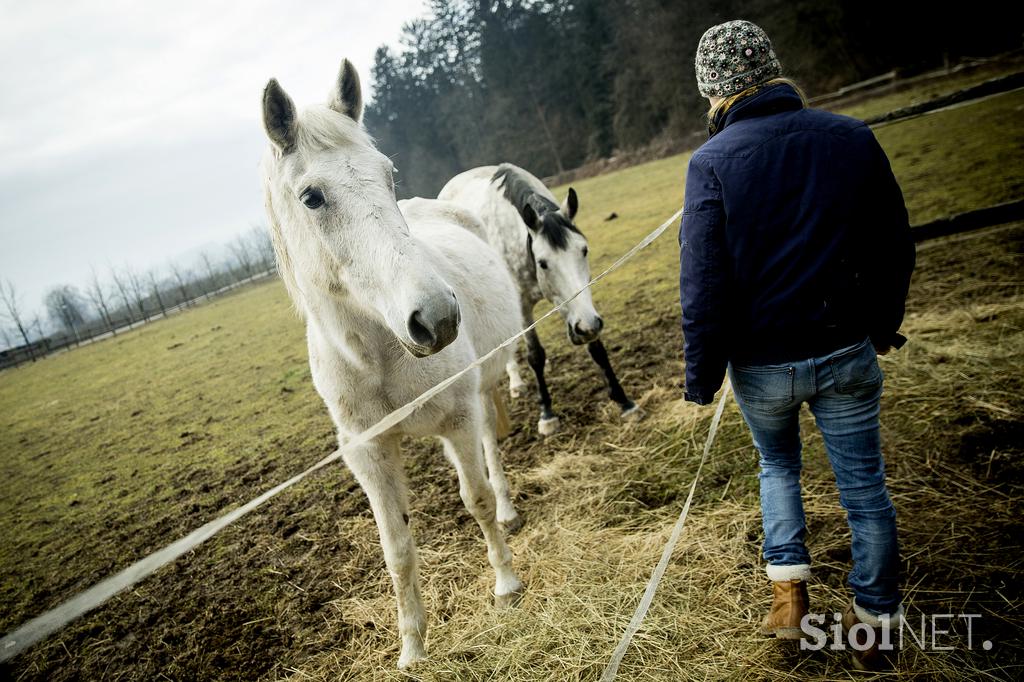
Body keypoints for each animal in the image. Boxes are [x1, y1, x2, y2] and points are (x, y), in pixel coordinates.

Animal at [260, 59, 524, 667]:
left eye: (388, 176)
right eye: (312, 197)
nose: (438, 318)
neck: (380, 356)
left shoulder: (457, 419)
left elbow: (474, 499)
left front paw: (506, 585)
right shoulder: (370, 454)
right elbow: (396, 547)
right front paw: (413, 648)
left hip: (479, 392)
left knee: (491, 452)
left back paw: (506, 510)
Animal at [440, 161, 638, 432]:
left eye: (584, 250)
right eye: (543, 263)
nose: (587, 326)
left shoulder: (574, 303)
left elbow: (595, 347)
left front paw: (623, 400)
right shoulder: (523, 306)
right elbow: (535, 355)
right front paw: (547, 414)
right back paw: (516, 384)